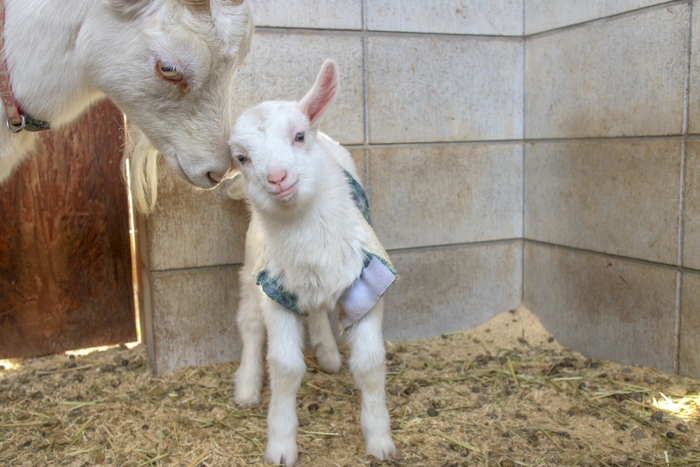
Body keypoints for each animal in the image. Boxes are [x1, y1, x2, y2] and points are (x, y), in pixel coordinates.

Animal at [228, 60, 394, 466]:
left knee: (317, 310)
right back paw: (247, 387)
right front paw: (281, 445)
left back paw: (329, 354)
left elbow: (370, 363)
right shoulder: (275, 290)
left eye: (299, 136)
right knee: (249, 324)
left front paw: (380, 439)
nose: (277, 178)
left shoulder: (369, 280)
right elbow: (286, 367)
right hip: (251, 265)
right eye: (242, 158)